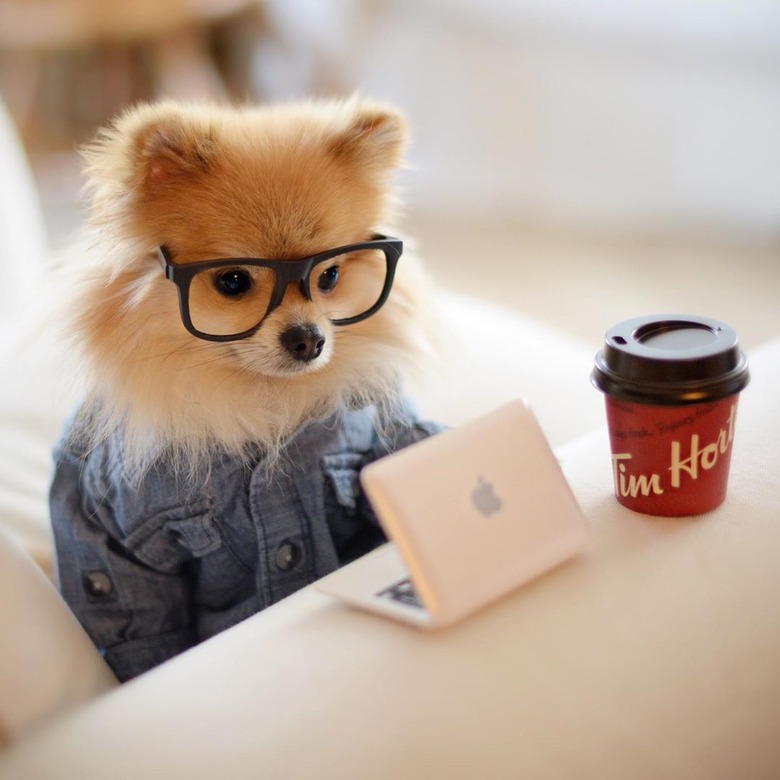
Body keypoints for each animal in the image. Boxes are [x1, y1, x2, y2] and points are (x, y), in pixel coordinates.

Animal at [50, 99, 438, 684]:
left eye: (329, 277)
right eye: (232, 281)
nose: (309, 339)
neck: (259, 404)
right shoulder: (123, 541)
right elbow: (144, 626)